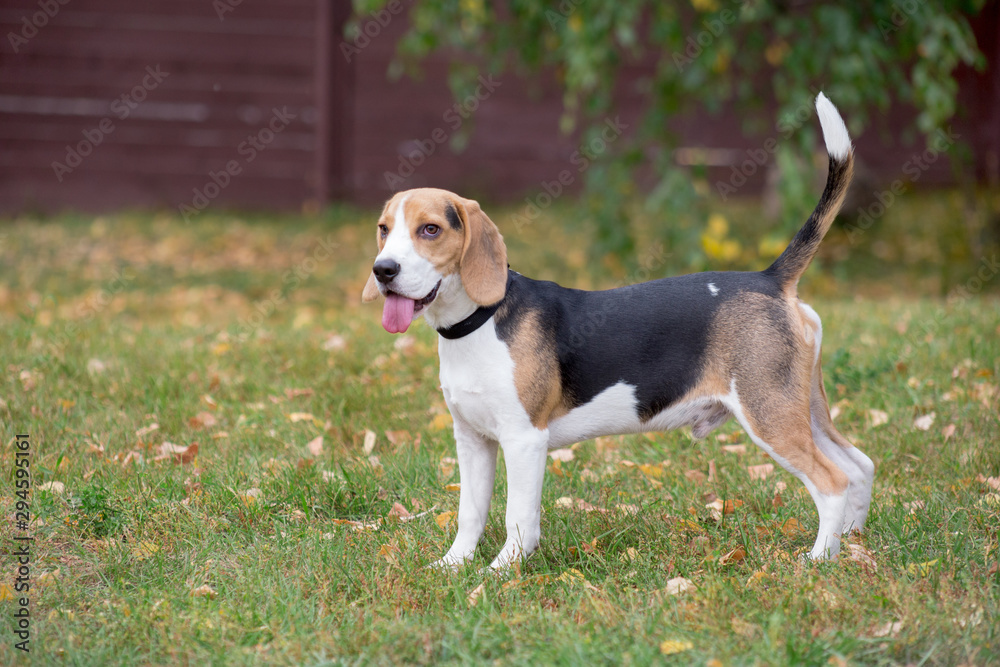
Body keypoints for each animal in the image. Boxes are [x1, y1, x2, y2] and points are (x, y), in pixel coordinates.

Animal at [364, 94, 872, 572]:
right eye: (384, 229)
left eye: (430, 230)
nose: (383, 270)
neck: (479, 322)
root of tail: (769, 278)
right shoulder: (472, 441)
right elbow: (470, 512)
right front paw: (453, 566)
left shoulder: (524, 440)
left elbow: (517, 516)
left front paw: (503, 570)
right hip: (800, 407)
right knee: (859, 466)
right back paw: (853, 544)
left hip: (769, 413)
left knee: (832, 481)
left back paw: (819, 558)